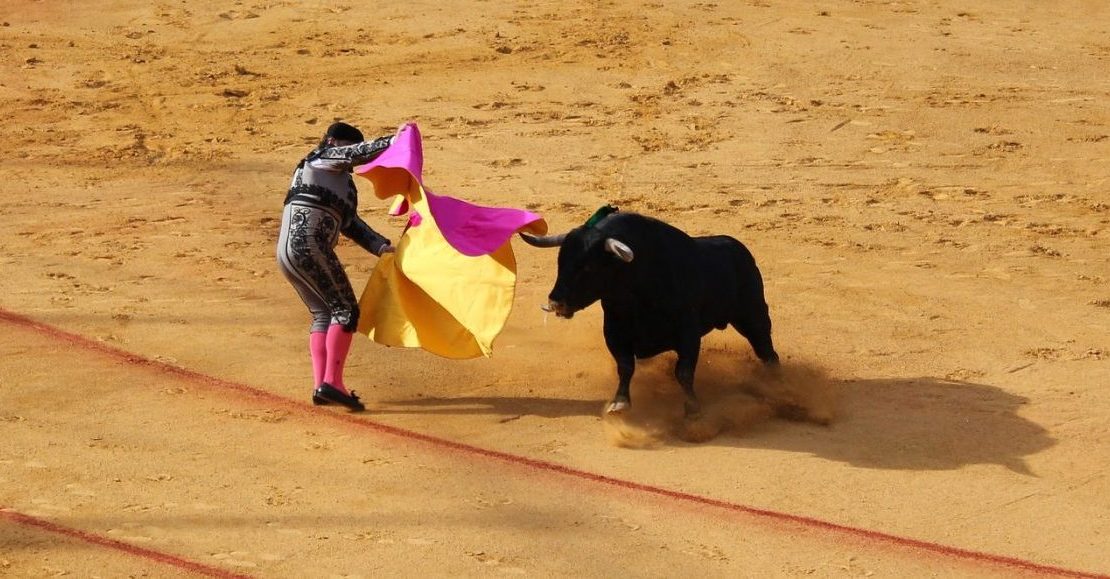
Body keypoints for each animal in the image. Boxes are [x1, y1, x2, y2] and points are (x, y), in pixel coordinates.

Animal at [521, 211, 777, 414]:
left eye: (588, 267)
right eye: (560, 262)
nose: (555, 302)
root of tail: (739, 249)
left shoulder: (688, 333)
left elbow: (684, 372)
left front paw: (692, 406)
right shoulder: (614, 332)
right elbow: (625, 367)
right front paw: (620, 403)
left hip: (753, 314)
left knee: (766, 349)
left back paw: (776, 383)